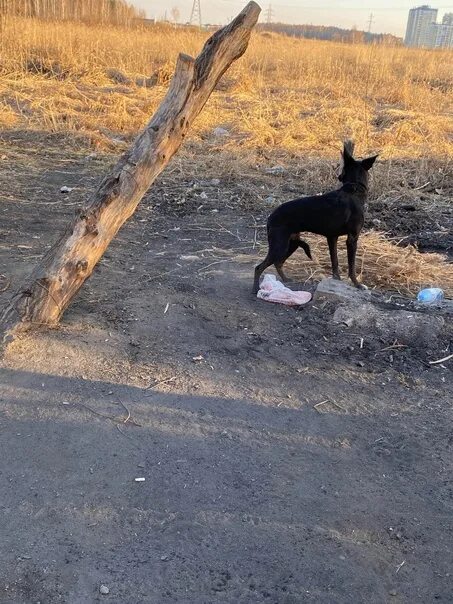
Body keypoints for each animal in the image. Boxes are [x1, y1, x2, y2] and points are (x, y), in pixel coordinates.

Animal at [252, 142, 376, 292]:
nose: (338, 176)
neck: (354, 188)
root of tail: (270, 218)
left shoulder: (332, 238)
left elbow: (335, 262)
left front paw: (337, 279)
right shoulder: (352, 238)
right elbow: (351, 267)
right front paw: (357, 284)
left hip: (291, 243)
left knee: (278, 263)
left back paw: (286, 279)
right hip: (279, 245)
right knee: (259, 267)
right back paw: (255, 289)